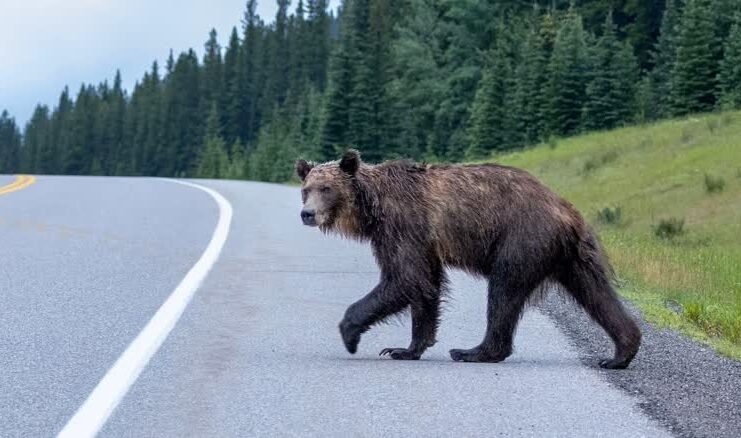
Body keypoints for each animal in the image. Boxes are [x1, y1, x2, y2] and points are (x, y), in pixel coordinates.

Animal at [295, 149, 641, 369]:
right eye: (306, 189)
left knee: (504, 291)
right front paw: (404, 348)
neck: (372, 209)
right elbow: (425, 285)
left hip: (522, 239)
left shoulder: (404, 225)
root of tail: (566, 211)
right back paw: (620, 352)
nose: (307, 213)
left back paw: (473, 351)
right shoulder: (416, 240)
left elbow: (405, 278)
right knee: (595, 293)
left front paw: (351, 333)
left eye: (326, 188)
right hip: (573, 256)